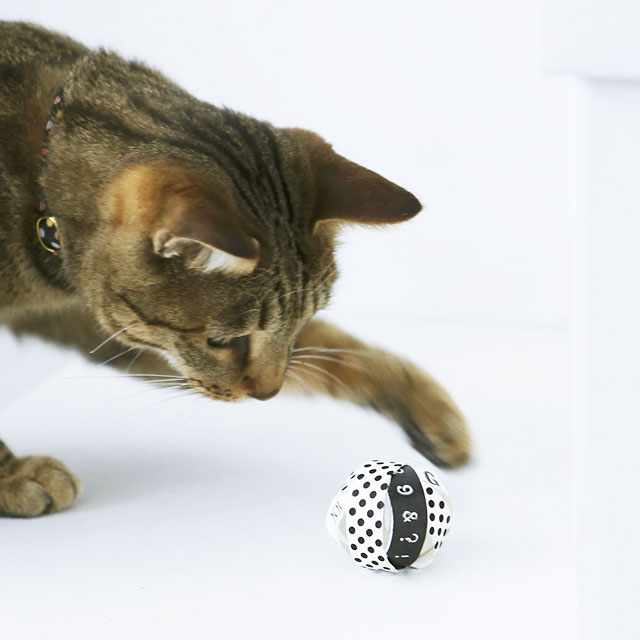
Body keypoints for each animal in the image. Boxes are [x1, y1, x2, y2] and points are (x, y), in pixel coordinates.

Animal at [0, 22, 470, 516]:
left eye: (302, 320)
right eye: (223, 342)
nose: (268, 393)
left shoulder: (92, 318)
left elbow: (332, 348)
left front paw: (423, 405)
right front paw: (12, 476)